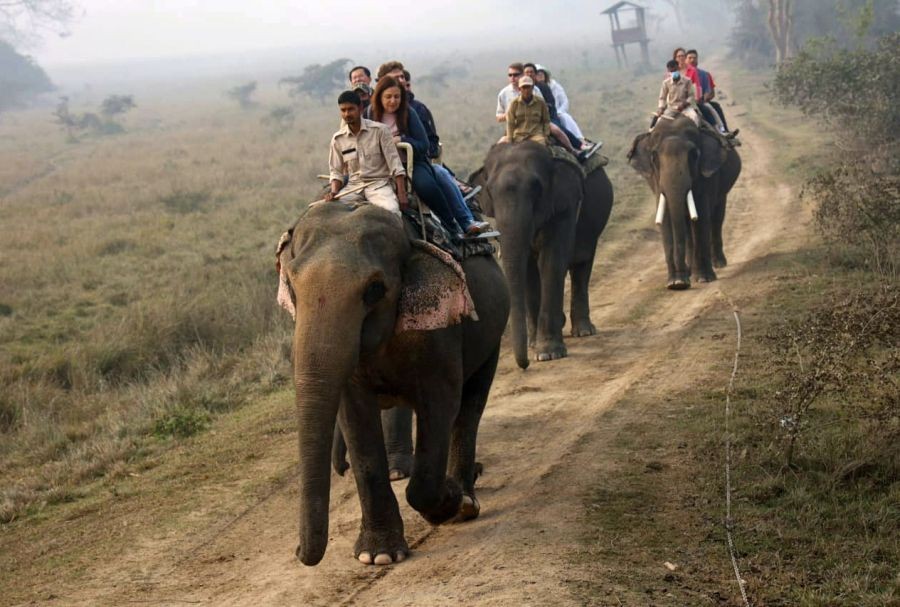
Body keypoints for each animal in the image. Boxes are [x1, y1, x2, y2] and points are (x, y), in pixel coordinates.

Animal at [276, 200, 510, 566]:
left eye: (375, 290)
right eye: (292, 286)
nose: (298, 552)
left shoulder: (439, 334)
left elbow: (441, 405)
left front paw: (451, 501)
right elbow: (356, 420)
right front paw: (378, 555)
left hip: (491, 333)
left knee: (470, 406)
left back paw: (467, 499)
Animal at [471, 142, 614, 369]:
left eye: (536, 188)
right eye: (490, 193)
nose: (525, 365)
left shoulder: (565, 203)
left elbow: (551, 261)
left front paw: (548, 353)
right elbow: (529, 268)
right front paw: (533, 344)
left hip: (593, 223)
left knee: (581, 263)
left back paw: (583, 331)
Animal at [627, 115, 741, 289]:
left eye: (694, 155)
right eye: (654, 157)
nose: (681, 283)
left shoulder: (707, 174)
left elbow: (701, 216)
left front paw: (704, 278)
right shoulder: (655, 180)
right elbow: (666, 217)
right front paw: (675, 283)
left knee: (716, 218)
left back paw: (718, 264)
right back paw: (691, 271)